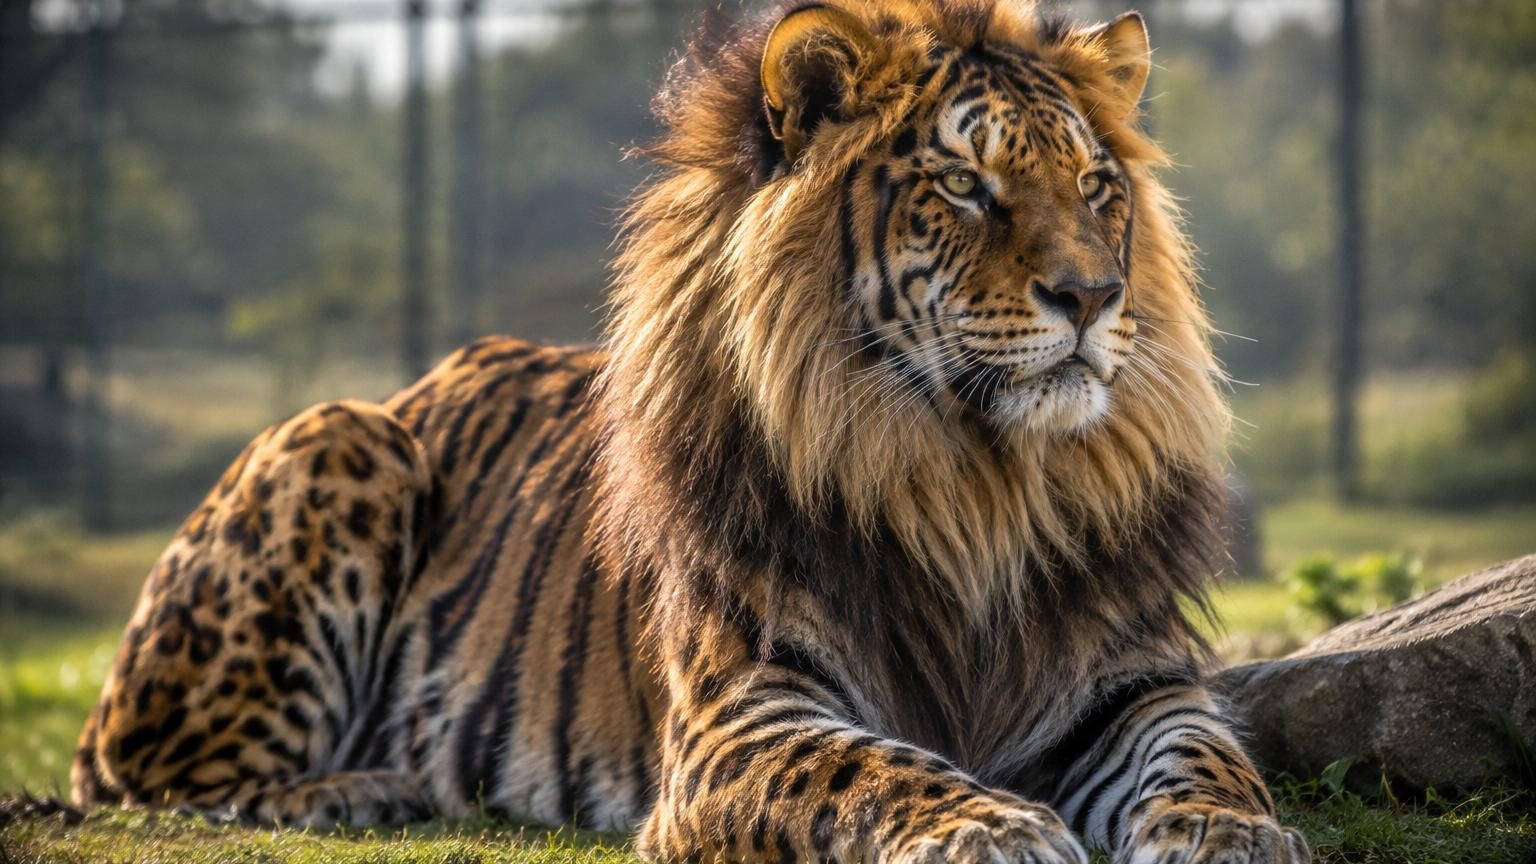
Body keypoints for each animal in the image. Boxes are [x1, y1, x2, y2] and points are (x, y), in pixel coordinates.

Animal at [71, 2, 1310, 862]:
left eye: (1097, 185)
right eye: (964, 185)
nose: (1094, 295)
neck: (975, 482)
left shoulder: (1130, 684)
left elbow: (1206, 755)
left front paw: (1234, 831)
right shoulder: (742, 718)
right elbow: (875, 772)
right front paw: (991, 827)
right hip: (338, 434)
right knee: (155, 783)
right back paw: (375, 788)